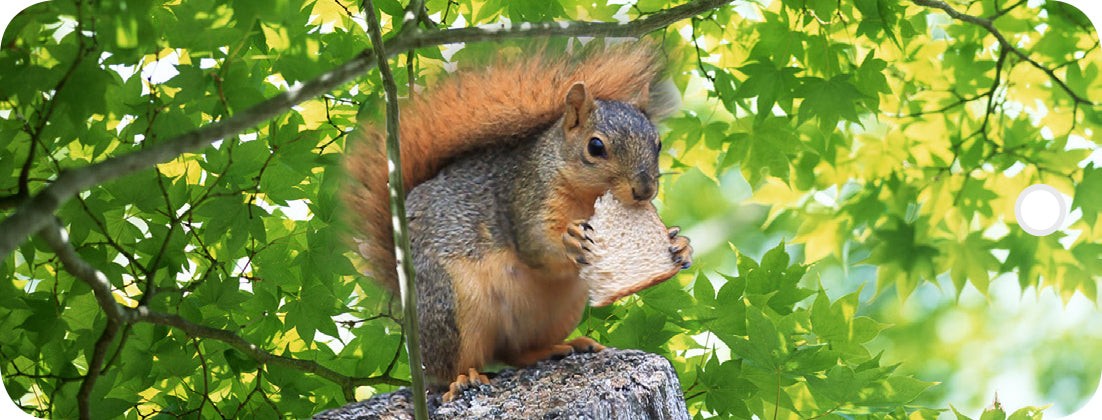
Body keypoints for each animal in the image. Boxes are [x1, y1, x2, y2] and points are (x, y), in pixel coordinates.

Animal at [339, 41, 692, 399]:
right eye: (595, 147)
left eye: (658, 143)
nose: (644, 190)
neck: (587, 198)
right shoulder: (526, 199)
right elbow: (536, 247)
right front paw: (570, 241)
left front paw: (679, 244)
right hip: (451, 304)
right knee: (450, 368)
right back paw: (462, 378)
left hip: (560, 310)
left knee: (515, 352)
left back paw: (560, 347)